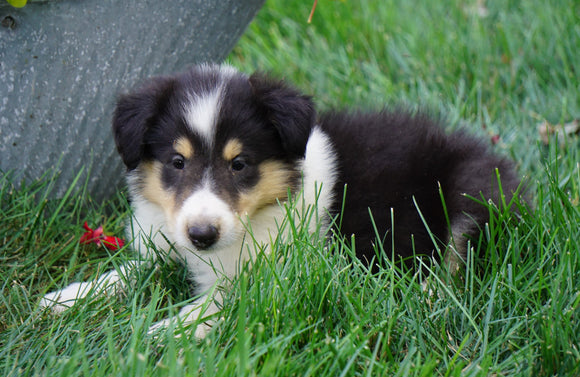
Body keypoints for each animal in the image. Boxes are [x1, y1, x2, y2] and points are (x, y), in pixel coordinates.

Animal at [39, 63, 520, 336]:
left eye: (239, 164)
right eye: (177, 161)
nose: (201, 235)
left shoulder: (277, 275)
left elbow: (224, 301)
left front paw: (166, 331)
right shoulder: (167, 244)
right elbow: (131, 270)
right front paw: (66, 298)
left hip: (472, 189)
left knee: (458, 261)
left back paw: (424, 295)